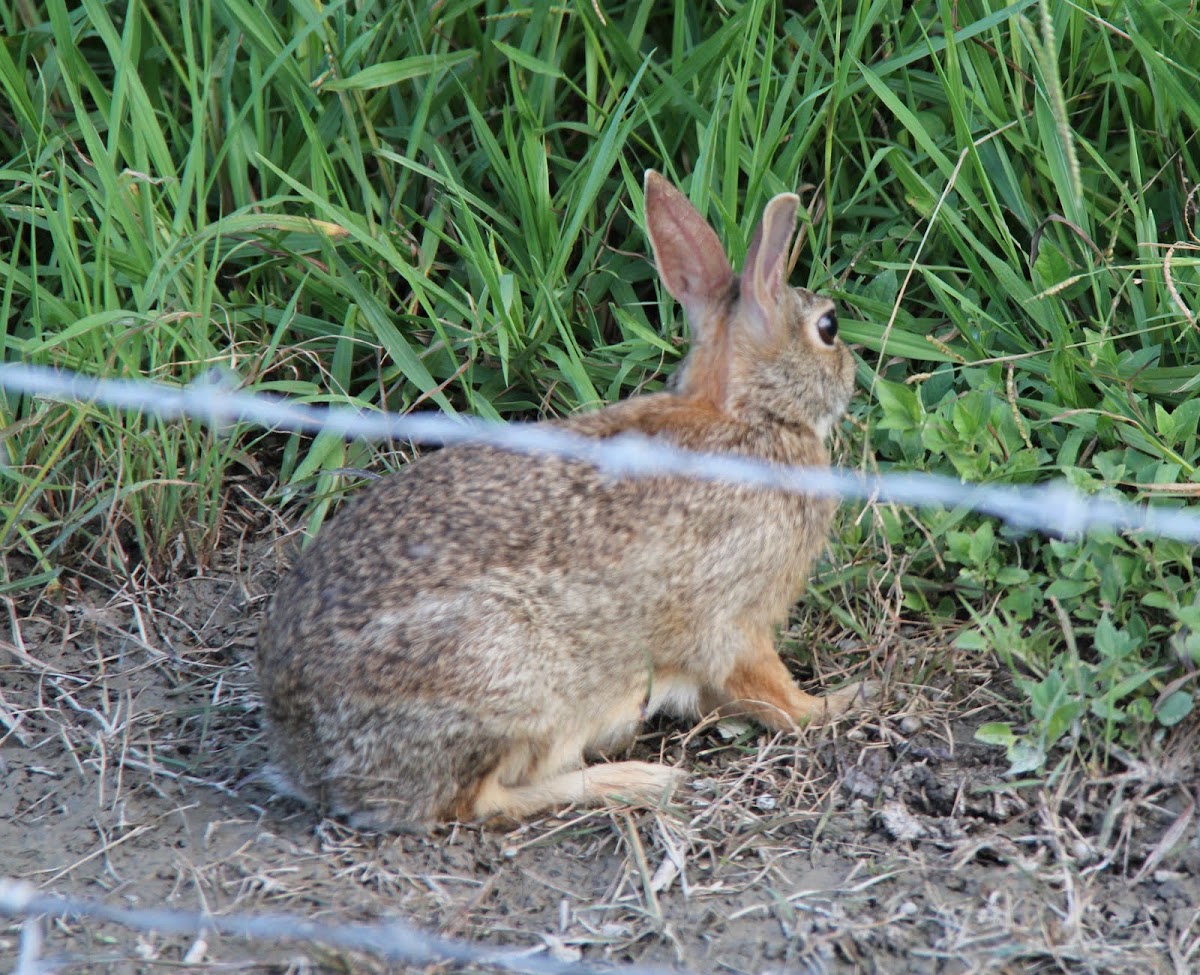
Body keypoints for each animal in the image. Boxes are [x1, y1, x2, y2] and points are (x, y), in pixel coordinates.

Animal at [255, 170, 872, 831]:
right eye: (829, 328)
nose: (854, 371)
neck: (750, 417)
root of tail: (308, 762)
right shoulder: (736, 621)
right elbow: (775, 696)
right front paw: (838, 703)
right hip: (509, 680)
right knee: (475, 802)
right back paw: (637, 779)